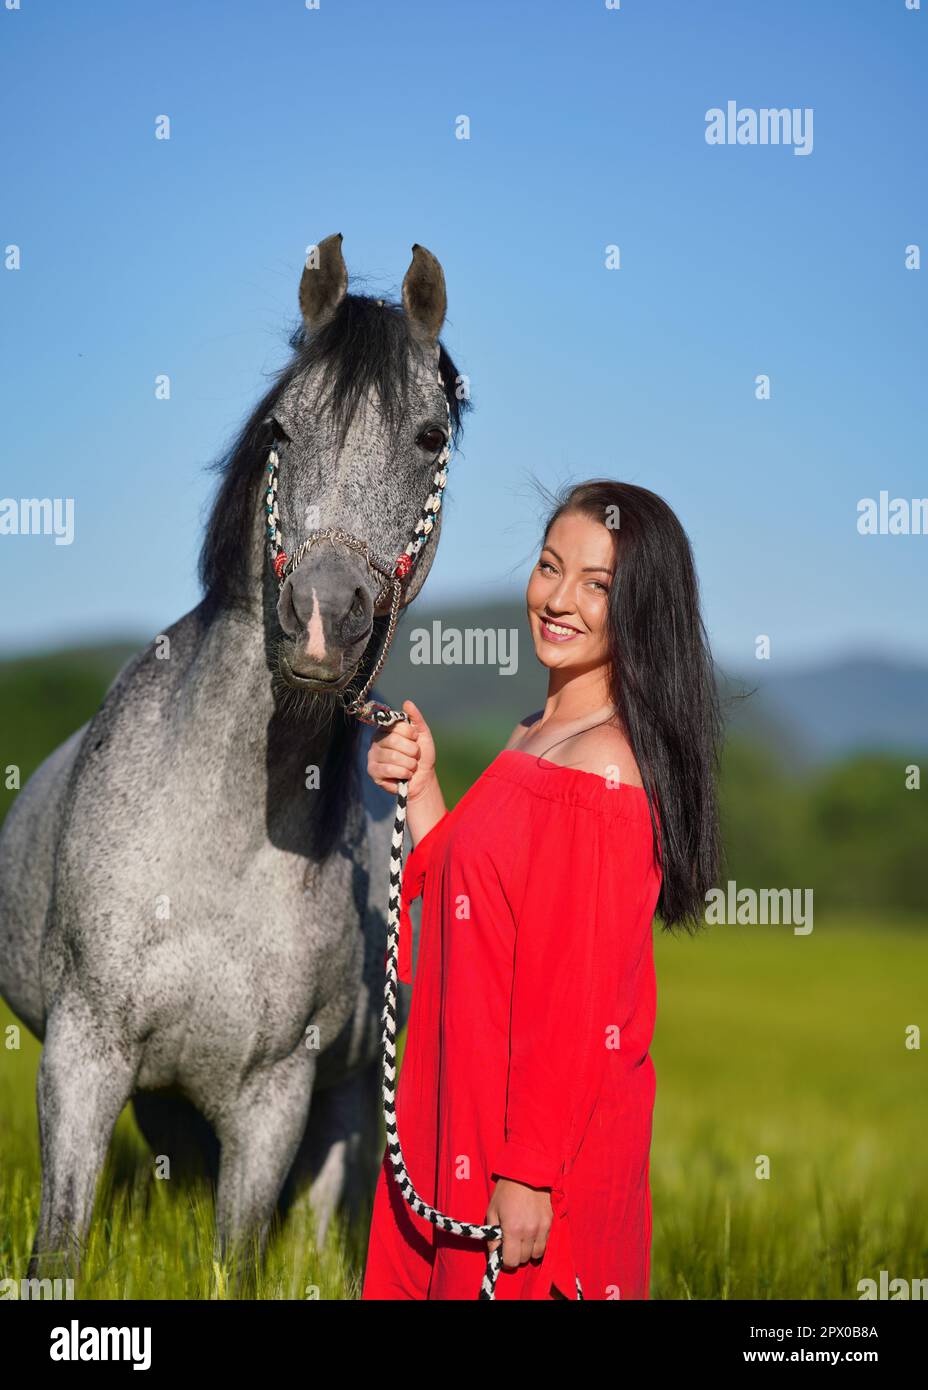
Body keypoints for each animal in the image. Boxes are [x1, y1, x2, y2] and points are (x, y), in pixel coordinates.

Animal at [0, 230, 466, 1278]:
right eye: (284, 428)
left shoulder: (273, 1100)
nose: (322, 622)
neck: (218, 842)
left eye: (429, 439)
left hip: (334, 1105)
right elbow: (59, 1248)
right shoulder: (82, 1058)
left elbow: (237, 1258)